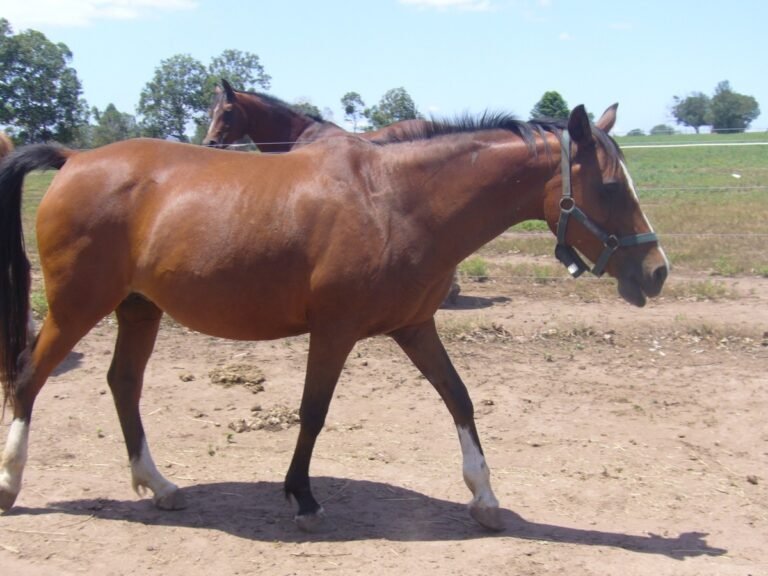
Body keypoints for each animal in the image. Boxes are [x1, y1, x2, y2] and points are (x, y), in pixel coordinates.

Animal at [0, 104, 668, 531]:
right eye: (611, 187)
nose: (657, 271)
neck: (398, 201)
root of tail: (74, 159)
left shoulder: (415, 328)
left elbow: (459, 398)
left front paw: (484, 496)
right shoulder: (334, 332)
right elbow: (313, 413)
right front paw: (302, 498)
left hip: (140, 309)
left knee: (123, 383)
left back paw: (158, 485)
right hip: (78, 307)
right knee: (28, 379)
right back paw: (10, 485)